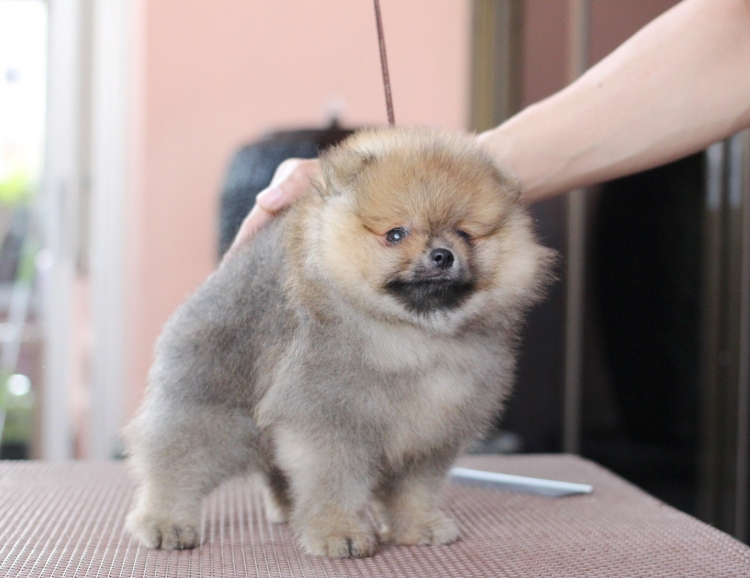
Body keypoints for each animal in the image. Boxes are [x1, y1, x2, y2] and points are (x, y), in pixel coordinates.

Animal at [124, 127, 554, 558]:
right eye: (396, 234)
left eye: (466, 234)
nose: (443, 255)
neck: (413, 336)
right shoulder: (331, 420)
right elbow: (334, 482)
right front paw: (339, 533)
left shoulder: (430, 431)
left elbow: (414, 490)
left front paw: (418, 527)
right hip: (213, 407)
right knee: (176, 460)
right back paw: (165, 523)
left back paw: (286, 510)